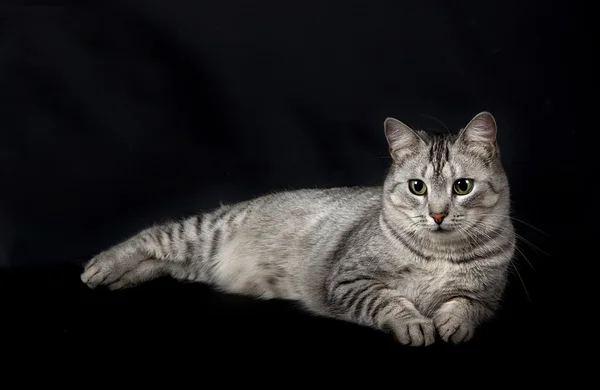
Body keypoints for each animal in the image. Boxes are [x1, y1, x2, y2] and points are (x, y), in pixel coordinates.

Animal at [81, 111, 516, 346]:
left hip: (196, 263)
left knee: (166, 264)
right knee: (155, 235)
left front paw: (451, 323)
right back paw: (101, 267)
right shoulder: (349, 280)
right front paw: (414, 324)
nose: (438, 215)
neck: (439, 256)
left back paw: (122, 279)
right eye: (417, 187)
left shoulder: (488, 298)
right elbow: (391, 302)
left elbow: (465, 306)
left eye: (462, 187)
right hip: (202, 234)